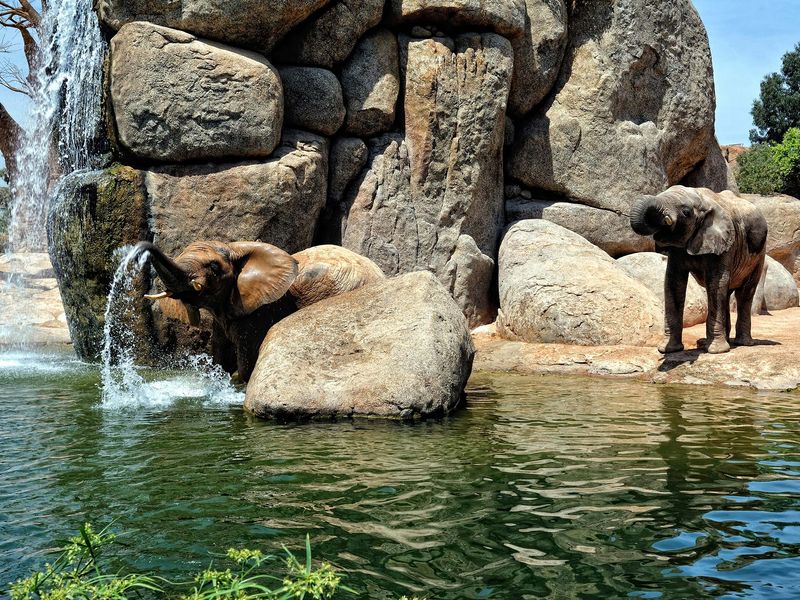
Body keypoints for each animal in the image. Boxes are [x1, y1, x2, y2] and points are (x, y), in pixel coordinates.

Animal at [134, 239, 384, 380]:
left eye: (214, 267)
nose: (138, 250)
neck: (234, 248)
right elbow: (219, 355)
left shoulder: (261, 312)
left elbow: (246, 363)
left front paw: (237, 379)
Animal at [632, 185, 768, 354]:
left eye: (686, 212)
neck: (702, 200)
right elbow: (673, 282)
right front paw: (669, 350)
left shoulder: (726, 244)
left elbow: (716, 283)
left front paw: (716, 351)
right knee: (726, 292)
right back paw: (711, 343)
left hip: (759, 255)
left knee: (744, 293)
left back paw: (742, 343)